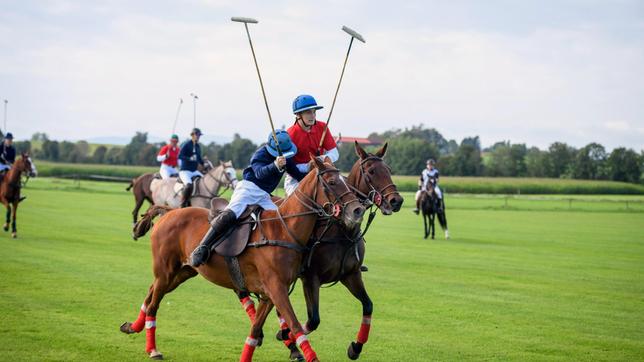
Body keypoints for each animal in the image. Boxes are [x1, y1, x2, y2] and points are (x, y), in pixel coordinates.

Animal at [119, 156, 362, 362]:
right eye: (332, 182)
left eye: (346, 181)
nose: (357, 210)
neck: (285, 229)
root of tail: (168, 212)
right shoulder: (276, 288)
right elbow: (294, 325)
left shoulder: (269, 294)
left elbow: (255, 331)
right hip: (166, 271)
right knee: (154, 304)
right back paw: (152, 349)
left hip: (183, 272)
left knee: (151, 293)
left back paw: (132, 327)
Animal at [262, 141, 402, 360]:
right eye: (371, 171)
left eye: (388, 169)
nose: (396, 201)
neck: (343, 230)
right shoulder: (311, 278)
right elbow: (313, 320)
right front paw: (284, 334)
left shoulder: (351, 275)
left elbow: (368, 305)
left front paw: (355, 348)